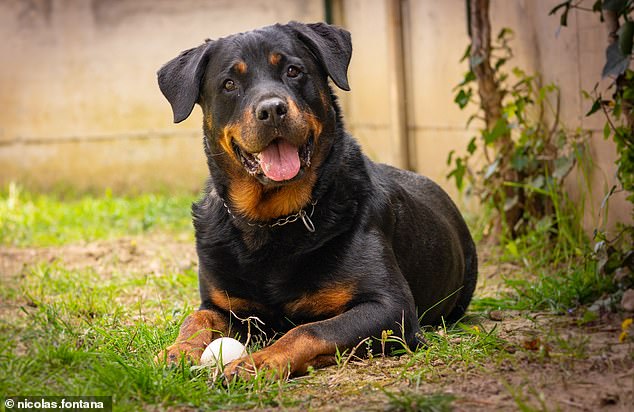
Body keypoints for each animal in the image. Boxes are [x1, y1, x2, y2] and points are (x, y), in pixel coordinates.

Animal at [156, 20, 476, 378]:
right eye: (229, 84)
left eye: (293, 71)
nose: (272, 109)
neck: (272, 221)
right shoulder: (225, 305)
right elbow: (196, 317)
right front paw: (176, 351)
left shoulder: (391, 307)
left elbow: (309, 330)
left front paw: (258, 361)